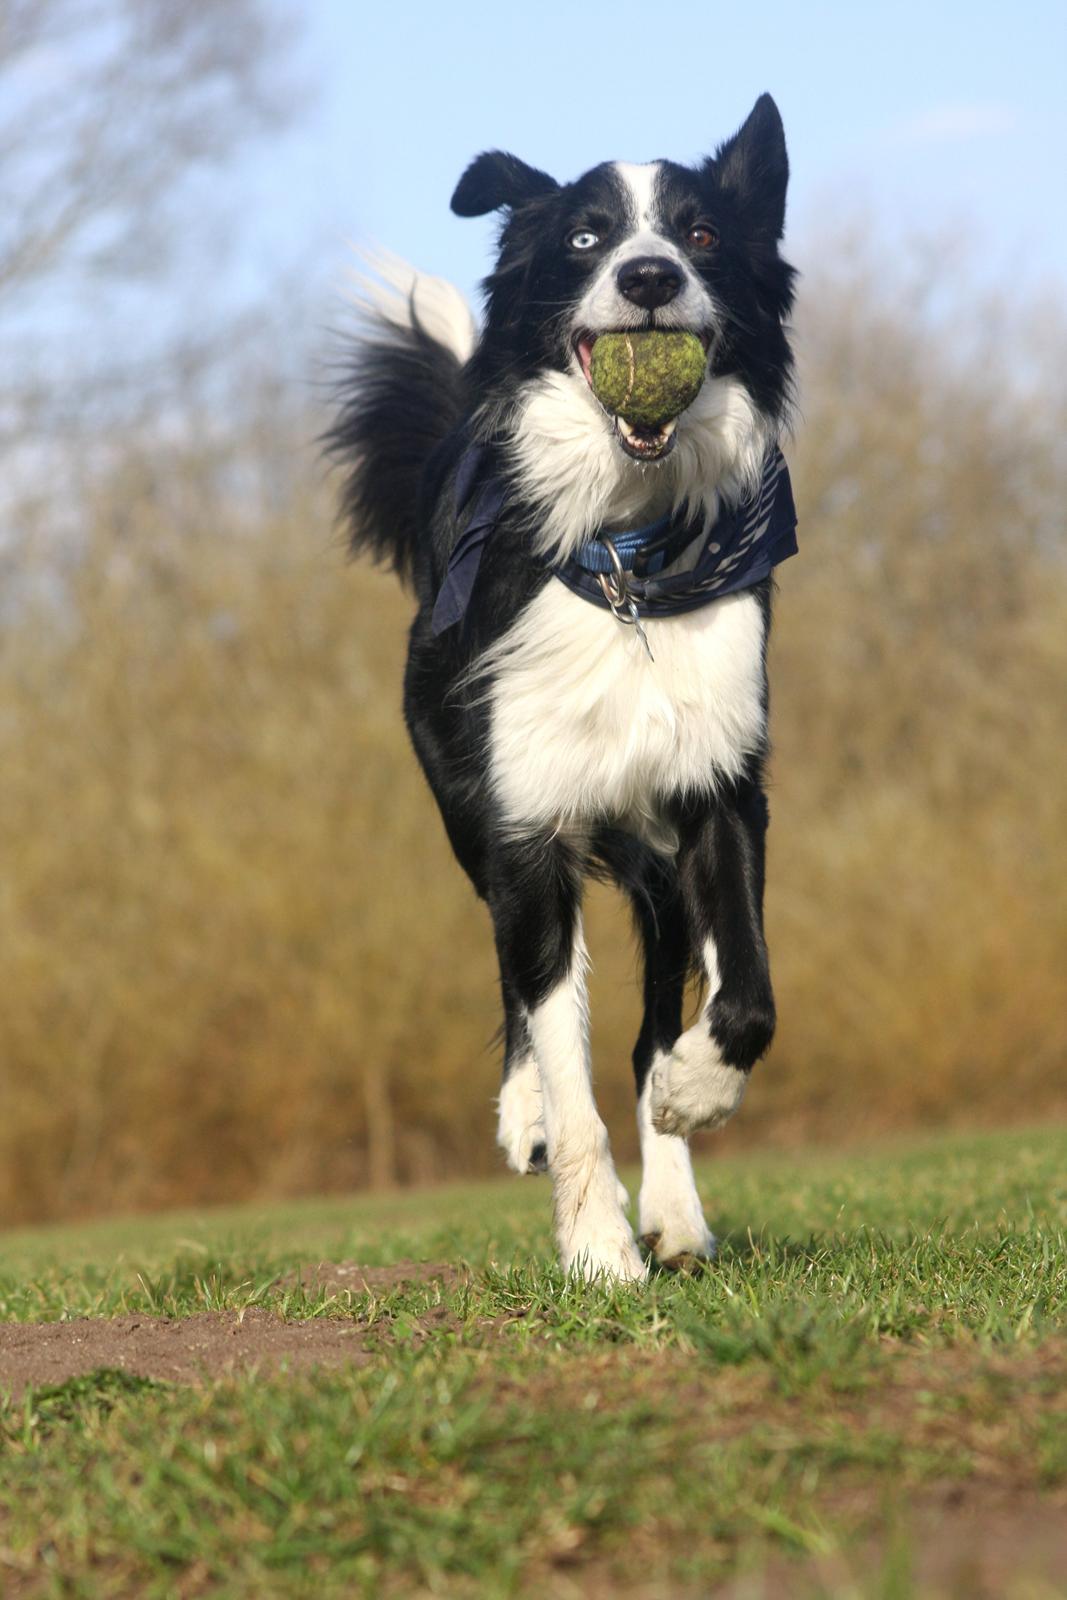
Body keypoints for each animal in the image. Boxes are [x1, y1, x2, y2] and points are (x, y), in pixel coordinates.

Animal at [329, 96, 796, 1273]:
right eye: (586, 237)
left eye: (701, 232)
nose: (649, 276)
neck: (627, 560)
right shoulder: (526, 825)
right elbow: (554, 1039)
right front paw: (593, 1252)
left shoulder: (718, 790)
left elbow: (743, 996)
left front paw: (697, 1096)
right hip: (467, 807)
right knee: (525, 993)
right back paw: (526, 1116)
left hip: (653, 867)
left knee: (649, 1024)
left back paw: (675, 1205)